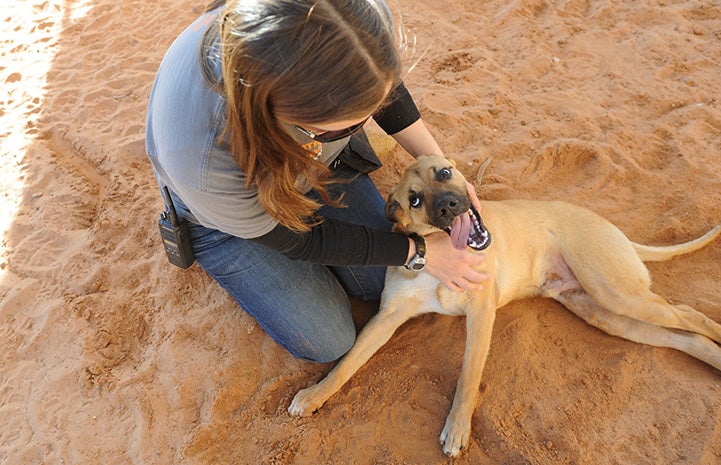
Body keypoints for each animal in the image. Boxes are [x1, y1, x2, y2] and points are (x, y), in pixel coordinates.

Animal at [288, 154, 720, 454]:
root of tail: (614, 230)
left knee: (693, 316)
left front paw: (458, 429)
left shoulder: (481, 310)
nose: (448, 205)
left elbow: (468, 374)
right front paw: (314, 395)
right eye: (413, 199)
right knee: (686, 337)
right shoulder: (388, 316)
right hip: (609, 314)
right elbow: (347, 363)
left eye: (442, 173)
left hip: (615, 291)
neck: (442, 254)